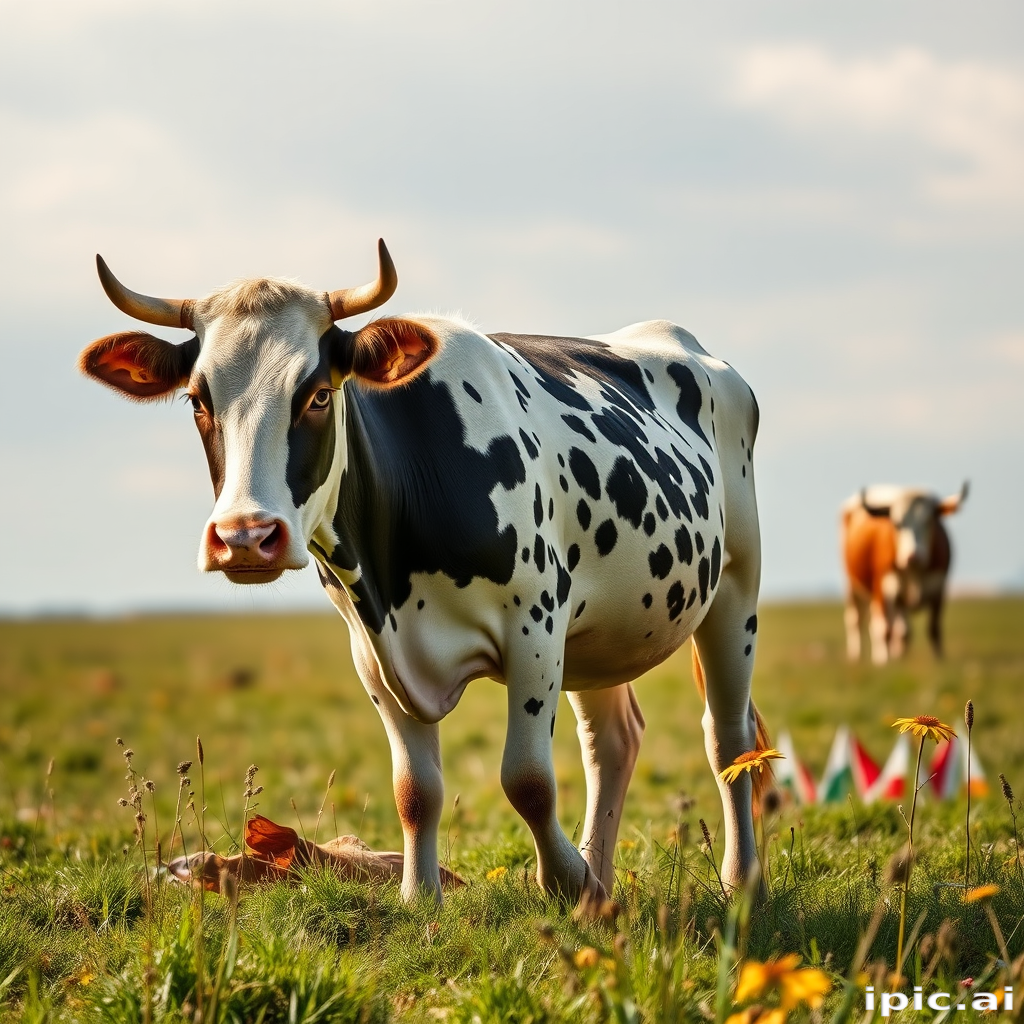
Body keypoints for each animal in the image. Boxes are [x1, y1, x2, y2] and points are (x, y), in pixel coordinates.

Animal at [79, 240, 769, 909]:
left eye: (319, 394)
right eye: (198, 400)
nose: (245, 536)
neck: (394, 572)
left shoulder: (536, 624)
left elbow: (527, 780)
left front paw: (564, 884)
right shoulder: (372, 653)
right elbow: (415, 788)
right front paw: (424, 896)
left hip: (736, 584)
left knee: (729, 739)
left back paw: (739, 880)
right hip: (601, 634)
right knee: (613, 742)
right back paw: (601, 876)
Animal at [841, 483, 968, 665]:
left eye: (929, 521)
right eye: (897, 523)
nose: (913, 556)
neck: (915, 572)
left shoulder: (939, 588)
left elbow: (934, 628)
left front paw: (939, 660)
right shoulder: (884, 589)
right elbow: (884, 629)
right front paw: (884, 663)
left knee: (901, 630)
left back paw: (898, 655)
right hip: (853, 586)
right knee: (856, 620)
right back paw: (856, 657)